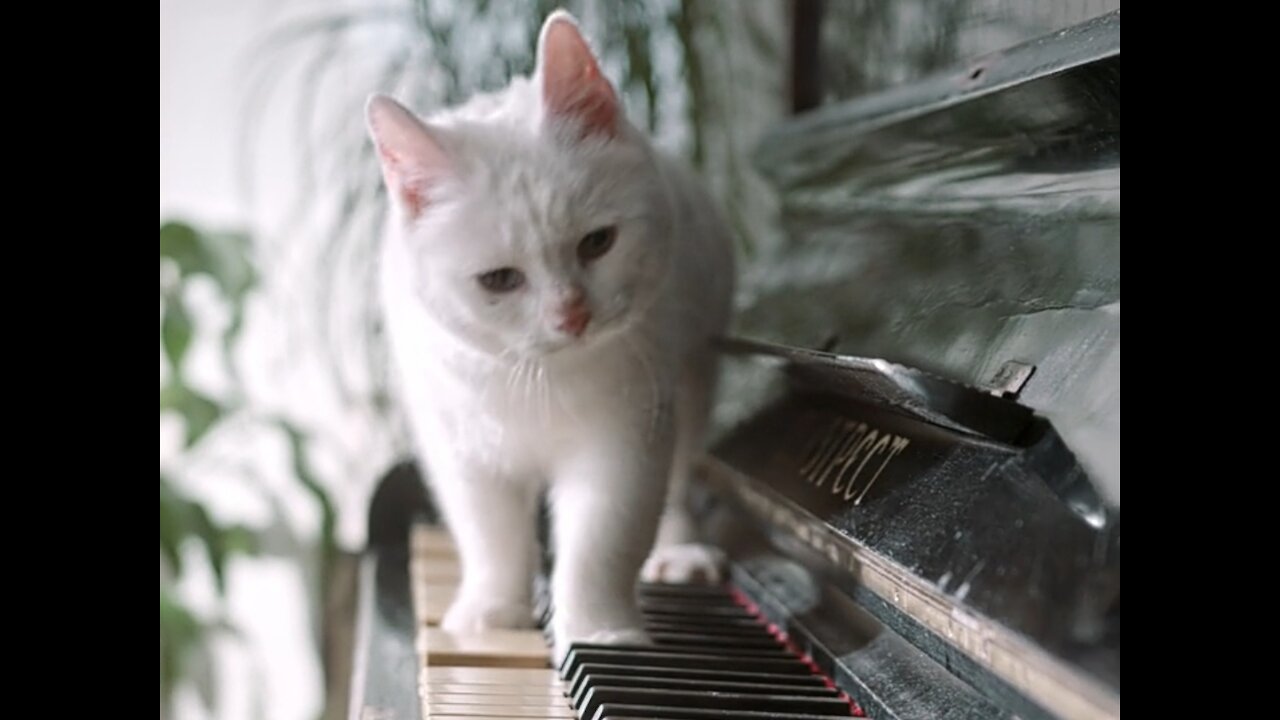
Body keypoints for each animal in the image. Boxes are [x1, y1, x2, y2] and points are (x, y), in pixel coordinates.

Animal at [366, 8, 737, 661]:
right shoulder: (460, 450)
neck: (536, 377)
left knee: (680, 481)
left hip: (694, 381)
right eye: (499, 280)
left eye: (598, 243)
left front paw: (599, 633)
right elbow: (491, 537)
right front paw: (492, 612)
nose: (573, 315)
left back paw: (678, 552)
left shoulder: (624, 440)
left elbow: (600, 544)